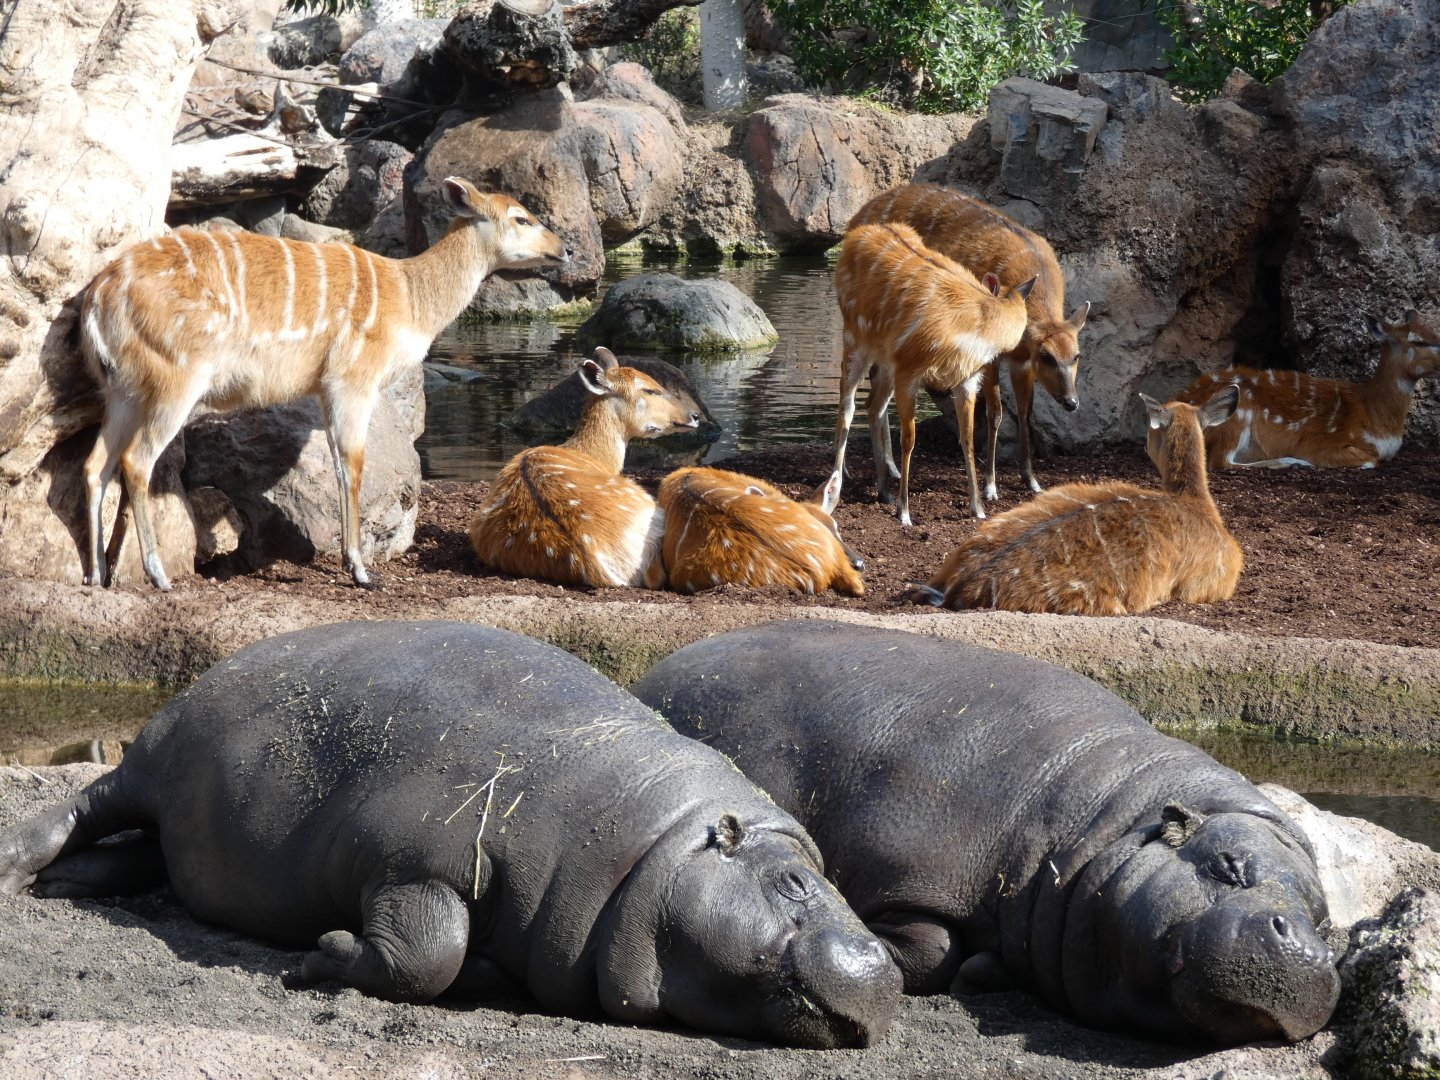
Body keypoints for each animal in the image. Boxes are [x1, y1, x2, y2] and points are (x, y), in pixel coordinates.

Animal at [0, 621, 900, 1047]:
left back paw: (69, 886)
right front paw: (319, 955)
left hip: (184, 824)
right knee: (89, 805)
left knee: (143, 851)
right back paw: (19, 868)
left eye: (838, 883)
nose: (887, 966)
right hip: (156, 754)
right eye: (793, 881)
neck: (651, 849)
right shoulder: (417, 861)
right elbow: (428, 953)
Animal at [631, 620, 1341, 1045]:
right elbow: (934, 944)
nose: (1307, 950)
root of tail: (655, 670)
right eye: (1227, 864)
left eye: (1323, 920)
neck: (1099, 828)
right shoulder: (914, 871)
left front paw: (984, 968)